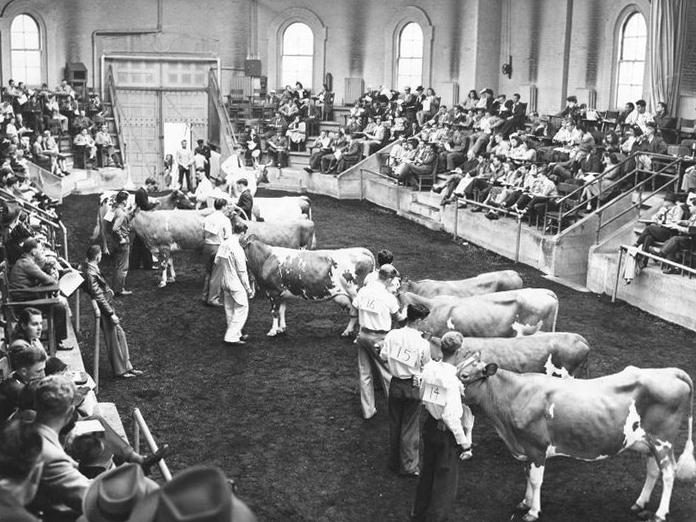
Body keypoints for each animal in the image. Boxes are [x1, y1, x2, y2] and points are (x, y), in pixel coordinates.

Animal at [130, 208, 316, 288]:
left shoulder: (164, 246)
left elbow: (163, 264)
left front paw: (162, 282)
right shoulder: (168, 247)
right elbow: (169, 263)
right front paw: (172, 278)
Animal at [242, 237, 378, 338]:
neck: (265, 259)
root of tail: (362, 250)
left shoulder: (272, 292)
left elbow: (274, 312)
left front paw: (273, 331)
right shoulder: (282, 293)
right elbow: (282, 310)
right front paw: (281, 328)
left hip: (356, 293)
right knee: (354, 313)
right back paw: (347, 332)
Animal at [456, 350, 696, 520]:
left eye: (465, 376)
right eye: (457, 368)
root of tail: (669, 371)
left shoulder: (537, 447)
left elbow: (535, 480)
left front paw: (533, 511)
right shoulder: (525, 448)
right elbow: (527, 475)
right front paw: (525, 502)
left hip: (663, 440)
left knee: (669, 473)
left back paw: (659, 514)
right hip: (648, 442)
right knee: (653, 471)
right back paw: (640, 503)